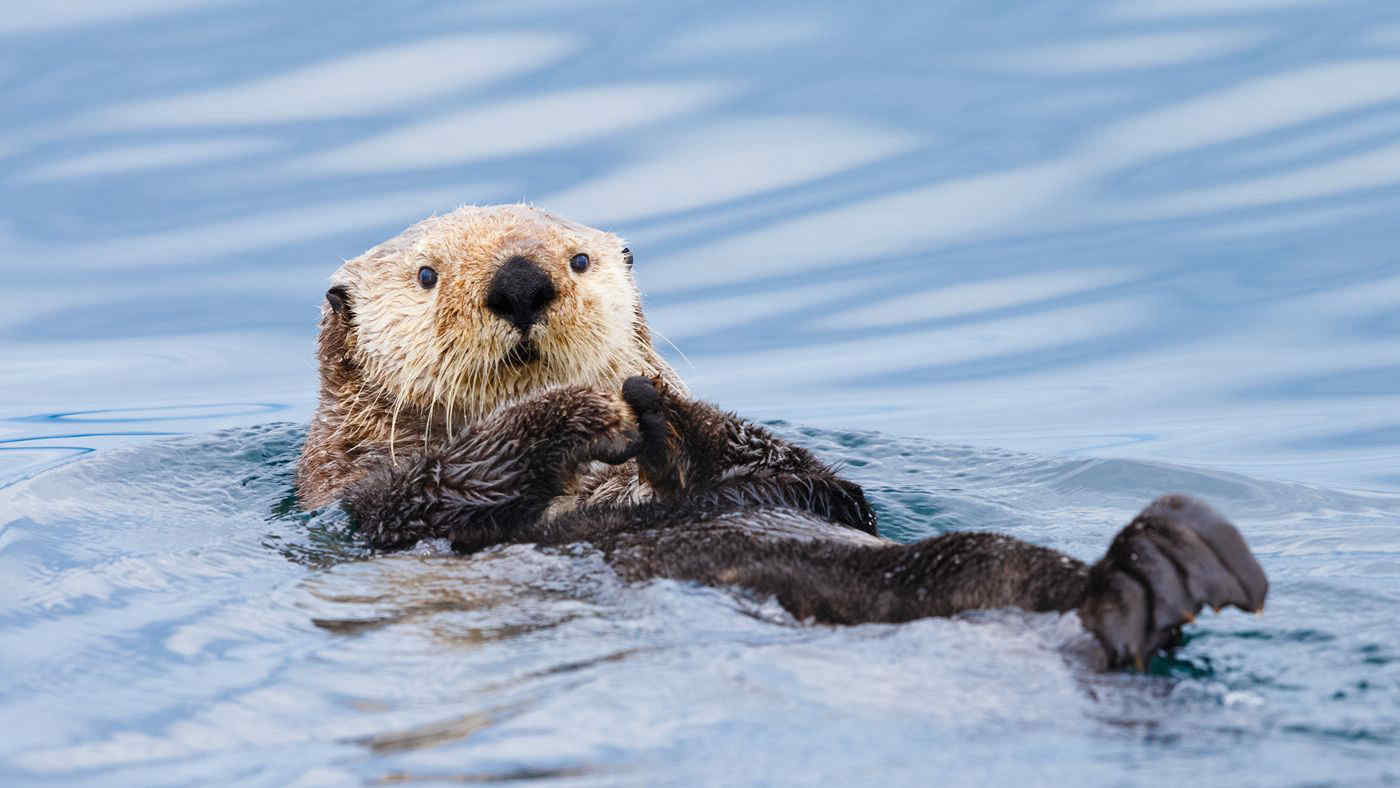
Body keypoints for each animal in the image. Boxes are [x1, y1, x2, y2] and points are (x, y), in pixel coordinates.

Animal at [298, 202, 1271, 671]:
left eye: (578, 259)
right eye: (428, 276)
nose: (521, 279)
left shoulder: (810, 489)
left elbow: (814, 483)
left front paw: (658, 409)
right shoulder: (364, 504)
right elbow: (444, 489)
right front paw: (587, 412)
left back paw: (1168, 563)